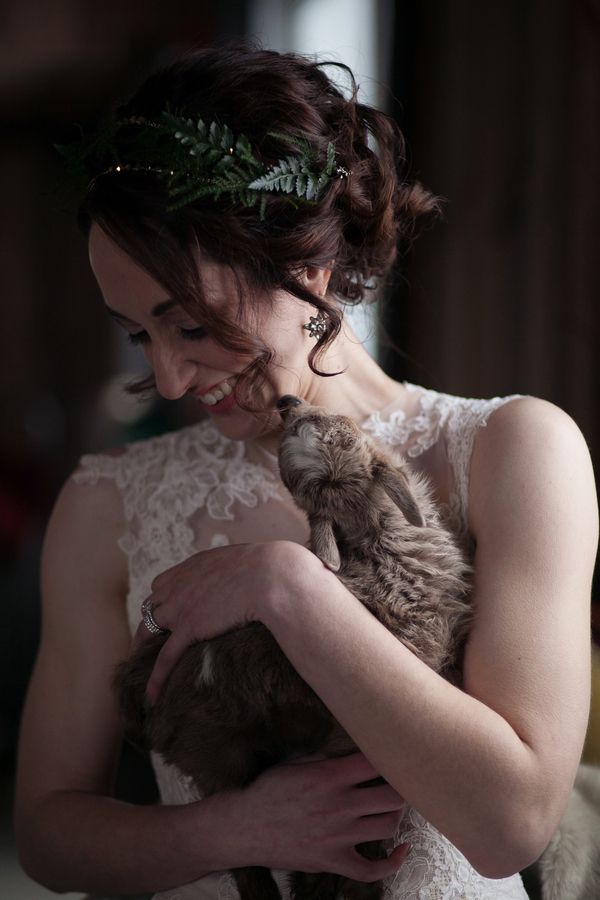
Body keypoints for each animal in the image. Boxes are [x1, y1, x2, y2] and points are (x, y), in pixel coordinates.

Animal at [116, 396, 474, 900]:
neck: (371, 534)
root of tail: (137, 682)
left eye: (326, 421)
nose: (287, 403)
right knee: (240, 851)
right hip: (216, 753)